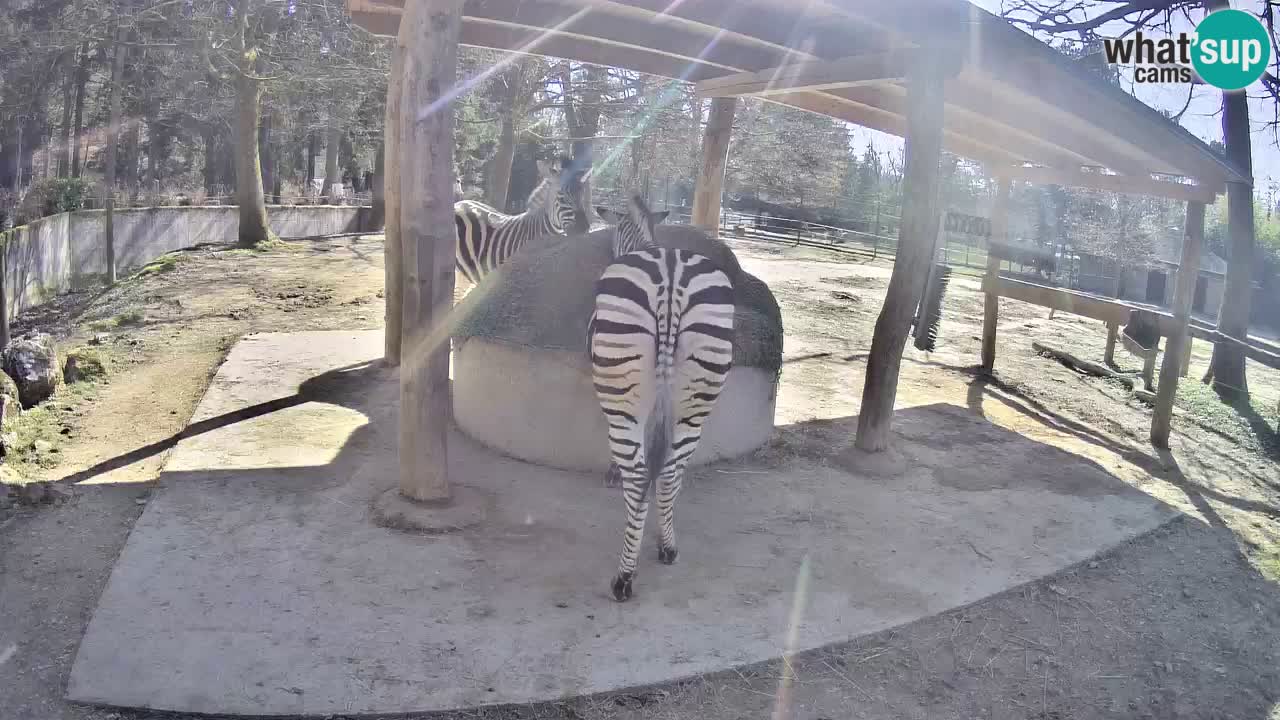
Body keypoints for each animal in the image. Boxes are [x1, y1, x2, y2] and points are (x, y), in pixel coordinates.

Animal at [588, 195, 735, 602]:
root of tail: (671, 278)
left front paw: (612, 473)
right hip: (698, 393)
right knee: (670, 470)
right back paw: (667, 546)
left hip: (625, 389)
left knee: (640, 473)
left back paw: (624, 577)